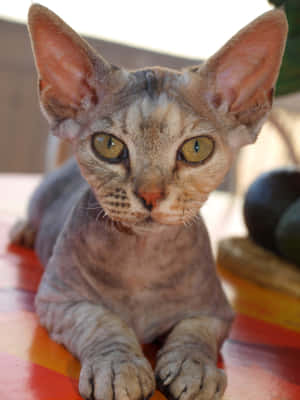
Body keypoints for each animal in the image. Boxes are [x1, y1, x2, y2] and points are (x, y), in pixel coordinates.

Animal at [10, 5, 288, 400]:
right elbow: (101, 320)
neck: (143, 260)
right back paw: (23, 231)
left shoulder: (217, 311)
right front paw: (119, 367)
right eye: (108, 145)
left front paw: (194, 368)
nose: (151, 195)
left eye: (197, 148)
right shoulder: (58, 299)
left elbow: (194, 332)